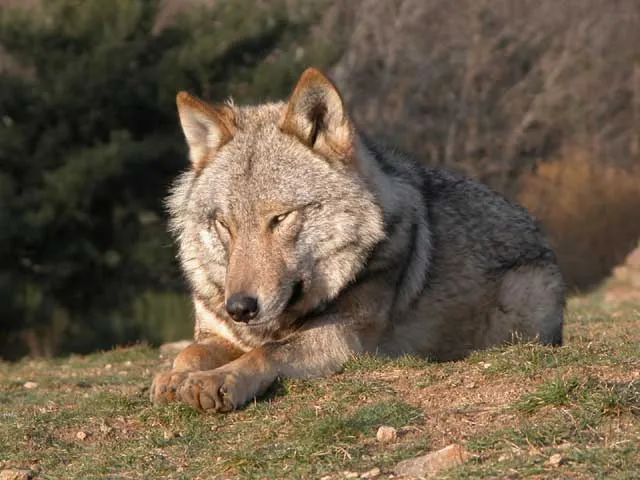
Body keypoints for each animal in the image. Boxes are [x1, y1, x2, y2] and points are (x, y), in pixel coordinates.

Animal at [150, 67, 564, 412]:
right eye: (226, 225)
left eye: (280, 218)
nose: (240, 308)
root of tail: (535, 227)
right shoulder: (215, 331)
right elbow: (190, 352)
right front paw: (174, 377)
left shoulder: (342, 339)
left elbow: (266, 352)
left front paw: (219, 379)